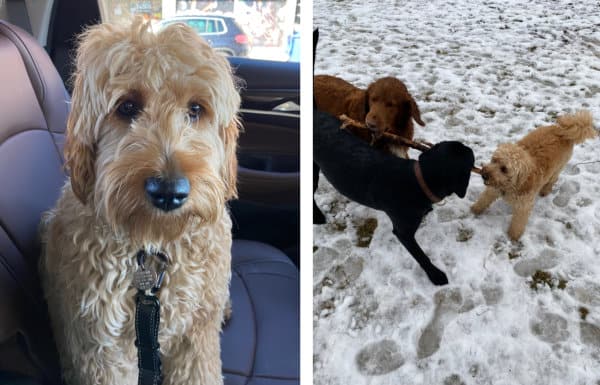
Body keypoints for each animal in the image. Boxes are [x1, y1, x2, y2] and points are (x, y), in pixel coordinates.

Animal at [38, 18, 240, 384]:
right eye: (127, 107)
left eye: (196, 108)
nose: (169, 191)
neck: (154, 246)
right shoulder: (100, 348)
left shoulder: (195, 338)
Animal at [314, 109, 474, 284]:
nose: (470, 148)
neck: (419, 181)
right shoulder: (403, 232)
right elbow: (421, 256)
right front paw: (435, 275)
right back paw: (318, 218)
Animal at [474, 109, 596, 240]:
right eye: (494, 160)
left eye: (504, 169)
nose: (484, 174)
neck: (514, 184)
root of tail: (563, 131)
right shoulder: (493, 189)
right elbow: (483, 200)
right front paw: (473, 210)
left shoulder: (524, 206)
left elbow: (518, 223)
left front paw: (513, 236)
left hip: (557, 169)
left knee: (553, 179)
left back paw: (545, 190)